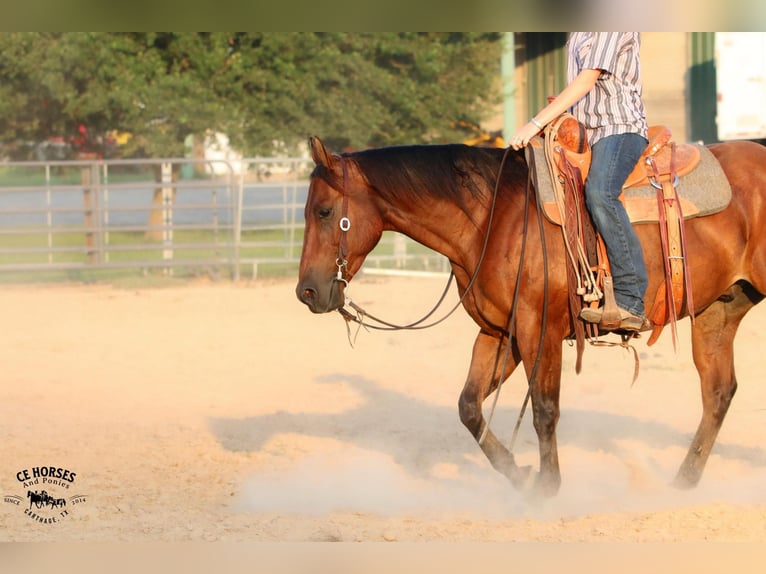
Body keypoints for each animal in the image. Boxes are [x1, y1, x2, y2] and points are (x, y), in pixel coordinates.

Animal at [296, 136, 766, 500]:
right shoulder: (499, 332)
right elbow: (469, 406)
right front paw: (519, 475)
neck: (491, 219)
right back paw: (683, 483)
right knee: (718, 392)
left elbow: (543, 409)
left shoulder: (539, 329)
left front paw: (547, 487)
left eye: (323, 211)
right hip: (718, 312)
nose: (307, 292)